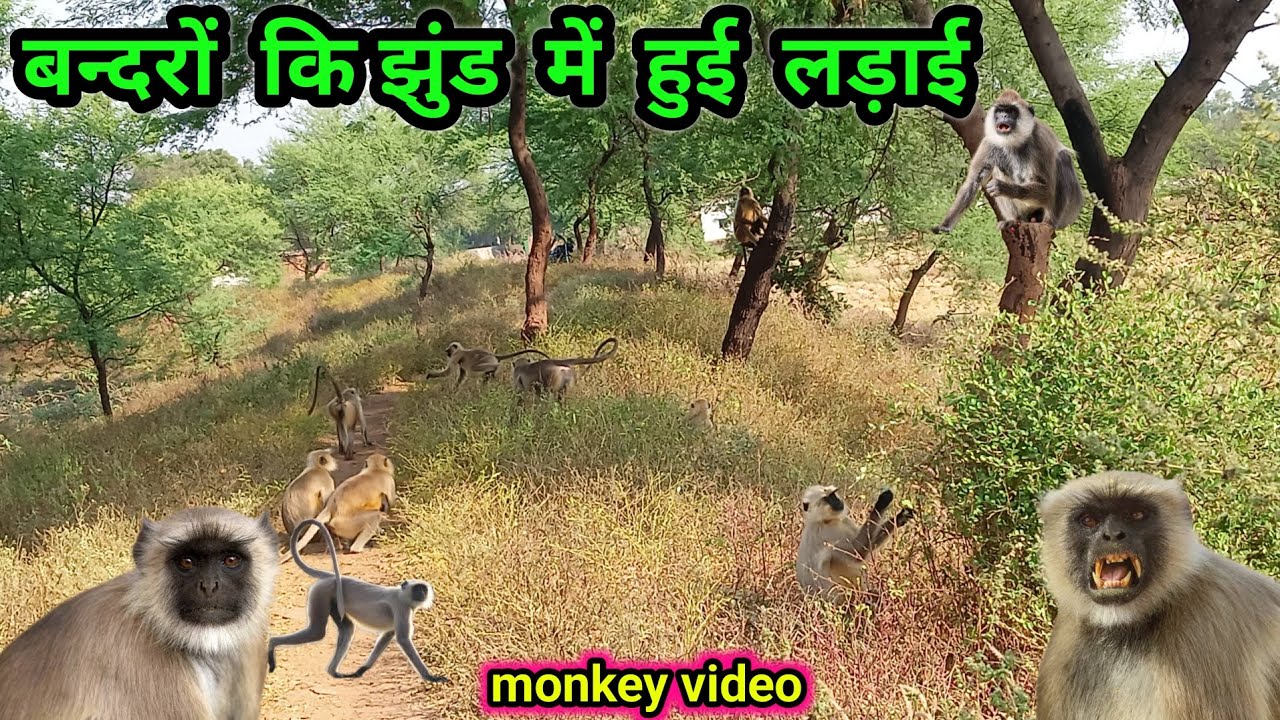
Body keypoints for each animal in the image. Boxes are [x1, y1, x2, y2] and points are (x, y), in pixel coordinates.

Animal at [268, 519, 448, 684]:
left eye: (423, 589)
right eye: (417, 589)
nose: (422, 593)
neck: (402, 594)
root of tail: (332, 577)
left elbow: (387, 635)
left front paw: (362, 669)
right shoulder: (401, 608)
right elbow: (403, 639)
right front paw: (431, 677)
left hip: (332, 599)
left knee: (347, 629)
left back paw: (334, 672)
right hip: (321, 593)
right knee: (317, 631)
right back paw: (272, 643)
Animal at [932, 89, 1083, 234]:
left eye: (1011, 111)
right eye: (1000, 111)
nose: (1004, 116)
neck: (1014, 142)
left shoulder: (1040, 140)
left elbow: (1048, 189)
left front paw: (1004, 188)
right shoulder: (990, 142)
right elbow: (972, 183)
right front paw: (944, 226)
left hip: (1069, 211)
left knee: (1063, 159)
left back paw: (1049, 223)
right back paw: (1014, 220)